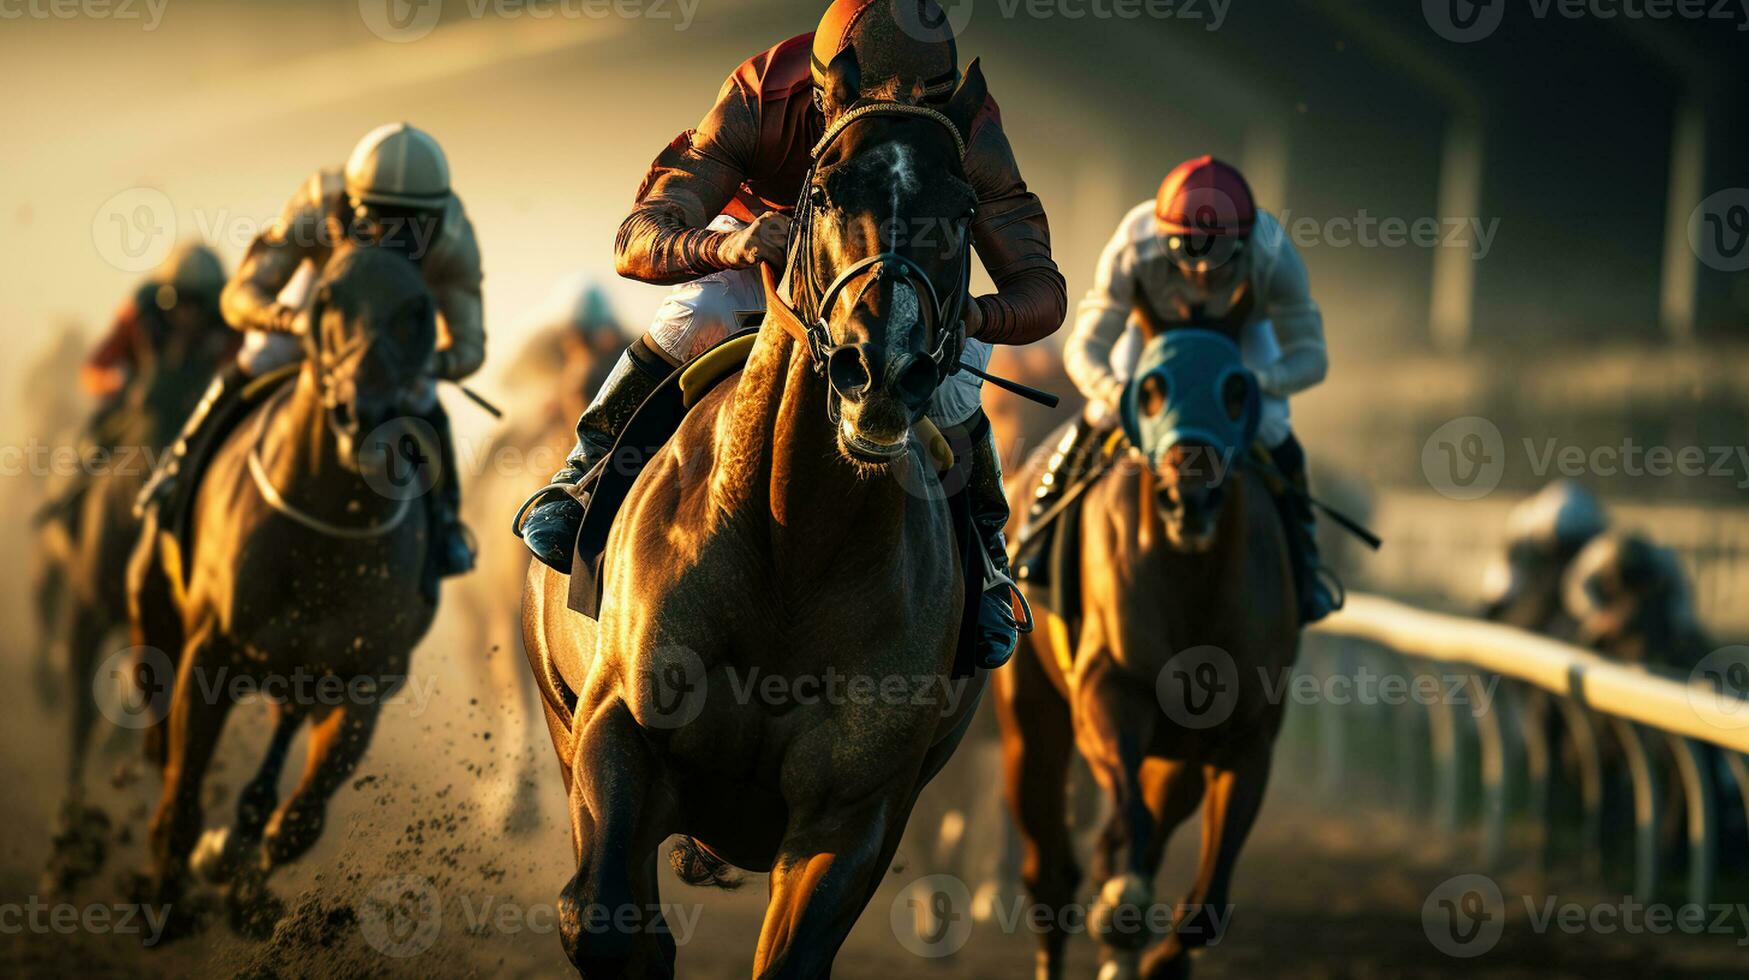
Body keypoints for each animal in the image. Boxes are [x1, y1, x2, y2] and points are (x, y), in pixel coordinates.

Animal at [127, 246, 440, 931]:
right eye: (327, 298)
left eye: (417, 312)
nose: (363, 413)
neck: (325, 529)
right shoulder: (210, 654)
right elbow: (183, 785)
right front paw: (166, 893)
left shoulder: (364, 684)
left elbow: (298, 823)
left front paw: (244, 885)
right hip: (154, 603)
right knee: (158, 719)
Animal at [1000, 327, 1301, 973]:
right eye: (1155, 388)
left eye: (1236, 391)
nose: (1187, 497)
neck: (1193, 577)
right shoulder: (1109, 692)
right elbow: (1126, 818)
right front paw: (1120, 900)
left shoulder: (1247, 740)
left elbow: (1207, 901)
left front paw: (1151, 949)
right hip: (1031, 722)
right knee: (1050, 873)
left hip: (1178, 754)